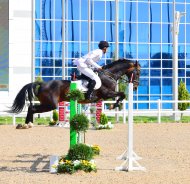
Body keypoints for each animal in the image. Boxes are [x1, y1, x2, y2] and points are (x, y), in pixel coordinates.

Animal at [8, 58, 140, 125]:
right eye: (138, 72)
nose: (135, 87)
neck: (109, 75)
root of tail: (43, 84)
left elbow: (122, 95)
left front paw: (114, 105)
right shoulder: (106, 94)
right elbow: (122, 95)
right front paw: (114, 106)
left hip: (47, 103)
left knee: (31, 108)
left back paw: (27, 124)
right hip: (50, 104)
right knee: (33, 108)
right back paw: (27, 124)